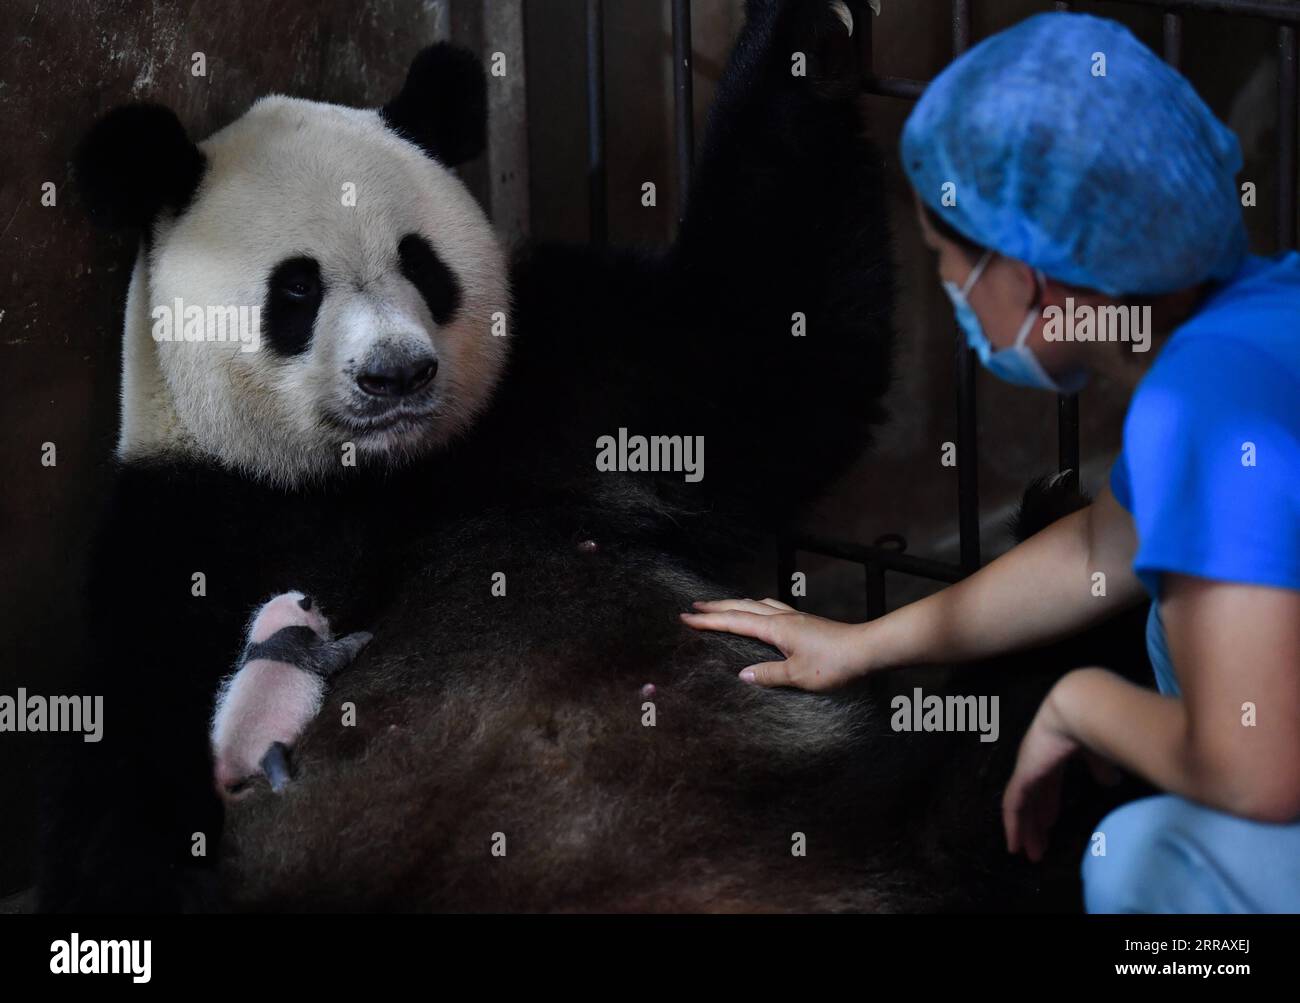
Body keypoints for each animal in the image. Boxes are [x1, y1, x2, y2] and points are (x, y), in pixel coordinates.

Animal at [38, 0, 1138, 914]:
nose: (396, 375)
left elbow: (759, 354)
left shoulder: (560, 384)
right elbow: (140, 768)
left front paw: (801, 42)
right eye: (296, 290)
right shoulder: (196, 520)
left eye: (421, 266)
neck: (387, 475)